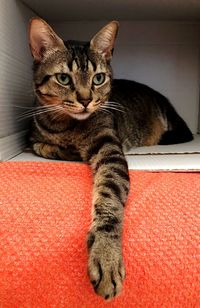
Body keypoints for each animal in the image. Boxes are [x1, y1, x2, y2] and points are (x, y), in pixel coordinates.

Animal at [28, 18, 194, 300]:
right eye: (63, 78)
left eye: (98, 78)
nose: (86, 100)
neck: (66, 126)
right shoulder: (32, 136)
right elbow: (42, 145)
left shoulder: (110, 149)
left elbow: (109, 198)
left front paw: (106, 254)